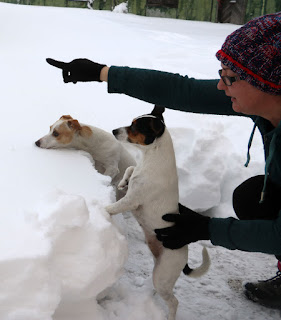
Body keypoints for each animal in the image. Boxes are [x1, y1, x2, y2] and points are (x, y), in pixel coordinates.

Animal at [104, 105, 209, 320]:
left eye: (135, 127)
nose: (113, 131)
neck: (151, 158)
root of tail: (184, 257)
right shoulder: (135, 173)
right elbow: (130, 168)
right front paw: (122, 182)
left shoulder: (133, 200)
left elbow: (116, 206)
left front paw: (102, 208)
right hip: (158, 270)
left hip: (163, 276)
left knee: (173, 301)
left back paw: (169, 316)